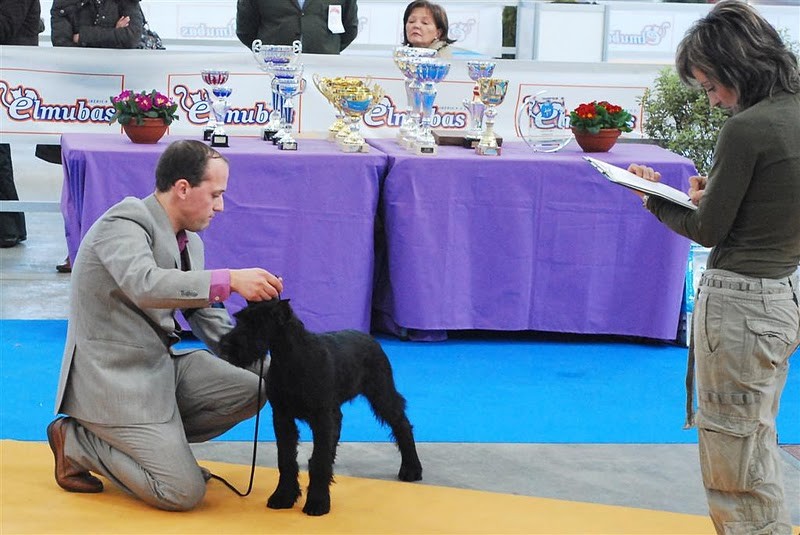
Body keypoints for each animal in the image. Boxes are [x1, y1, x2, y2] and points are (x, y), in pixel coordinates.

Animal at [219, 299, 423, 516]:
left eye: (256, 323)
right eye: (240, 319)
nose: (225, 345)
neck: (290, 359)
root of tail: (370, 338)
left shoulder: (321, 416)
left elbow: (318, 461)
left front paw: (318, 501)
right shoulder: (282, 416)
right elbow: (286, 459)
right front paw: (283, 496)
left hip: (381, 394)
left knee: (401, 424)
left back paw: (411, 468)